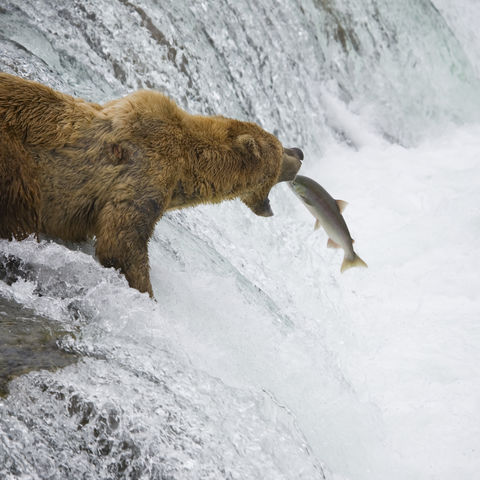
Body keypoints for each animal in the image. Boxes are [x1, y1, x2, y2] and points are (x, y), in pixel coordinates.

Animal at [0, 73, 302, 296]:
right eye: (280, 150)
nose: (299, 153)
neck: (185, 169)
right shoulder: (146, 172)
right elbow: (122, 242)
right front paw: (146, 294)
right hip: (16, 164)